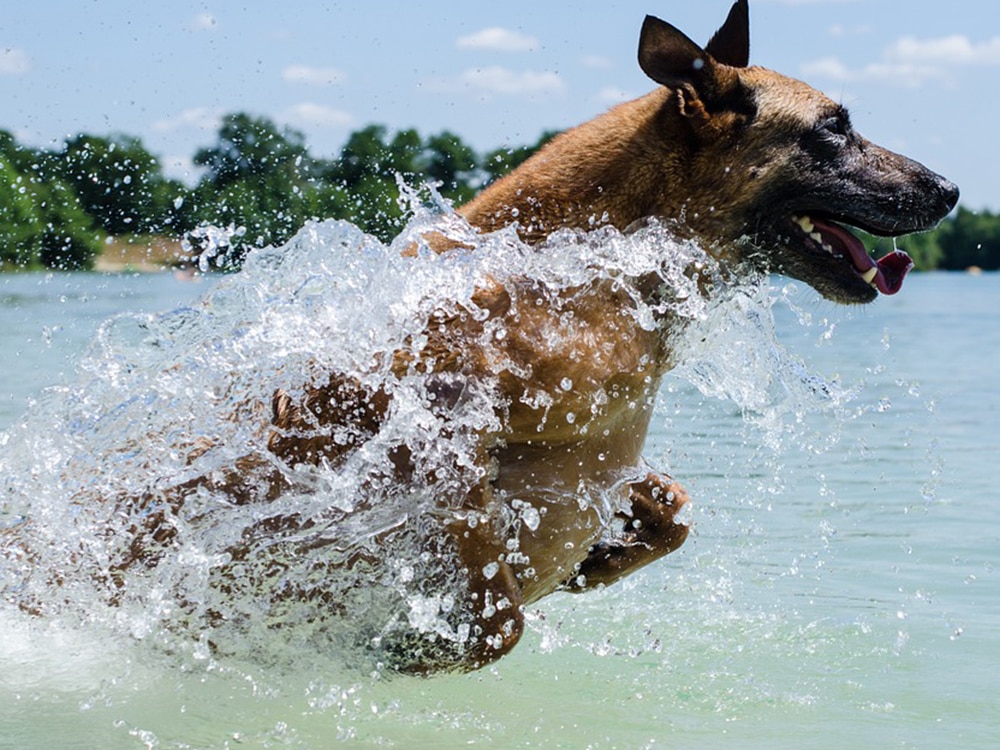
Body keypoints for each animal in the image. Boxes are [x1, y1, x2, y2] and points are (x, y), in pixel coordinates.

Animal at [7, 0, 960, 680]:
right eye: (834, 127)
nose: (951, 189)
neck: (595, 271)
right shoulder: (410, 416)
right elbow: (495, 609)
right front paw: (417, 645)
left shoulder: (595, 460)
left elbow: (674, 511)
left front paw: (603, 558)